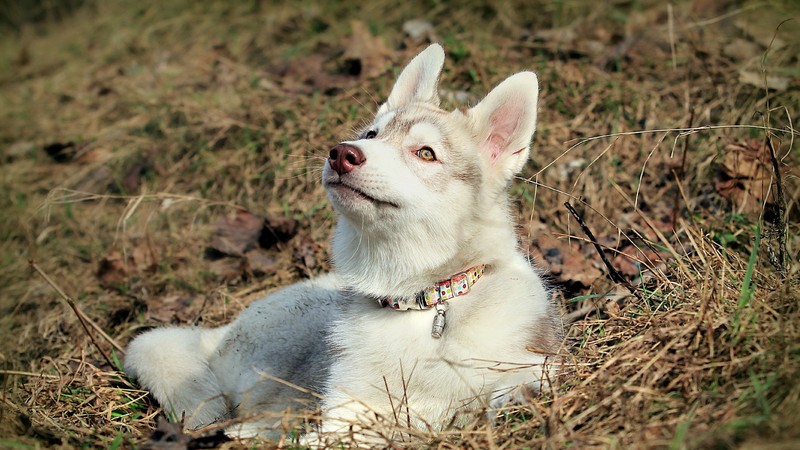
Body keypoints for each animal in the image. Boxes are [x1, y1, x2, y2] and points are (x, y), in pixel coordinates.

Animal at [125, 44, 564, 444]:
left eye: (426, 153)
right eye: (371, 135)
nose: (341, 153)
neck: (425, 302)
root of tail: (221, 330)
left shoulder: (527, 370)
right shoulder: (345, 409)